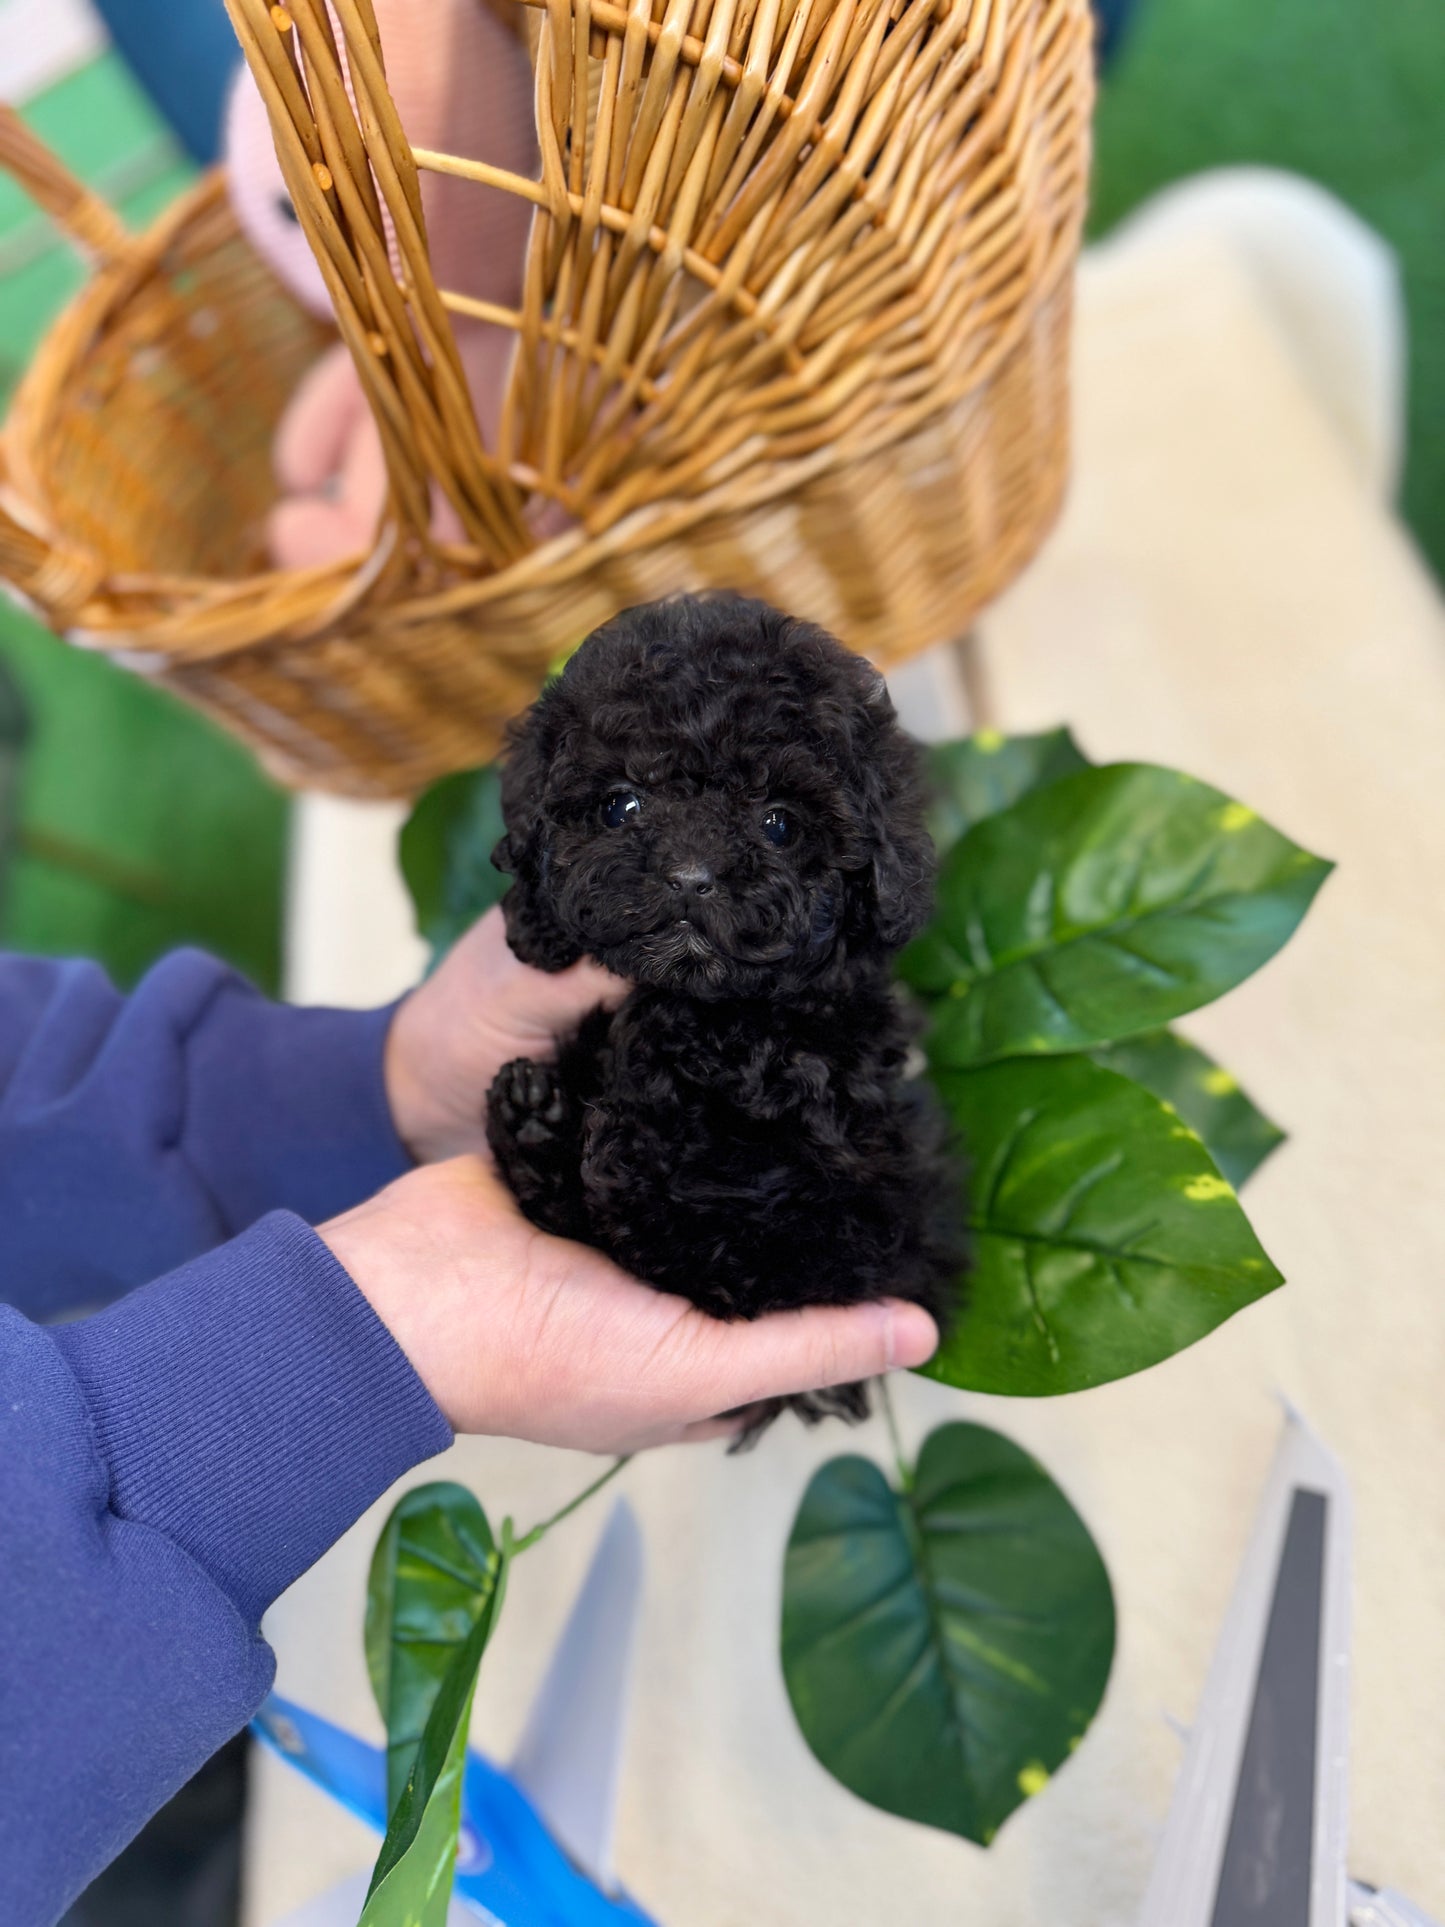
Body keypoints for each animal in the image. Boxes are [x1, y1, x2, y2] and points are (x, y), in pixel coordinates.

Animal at [483, 593, 963, 1425]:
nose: (688, 874)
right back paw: (532, 1115)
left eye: (779, 822)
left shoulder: (845, 1189)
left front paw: (648, 1103)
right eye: (620, 805)